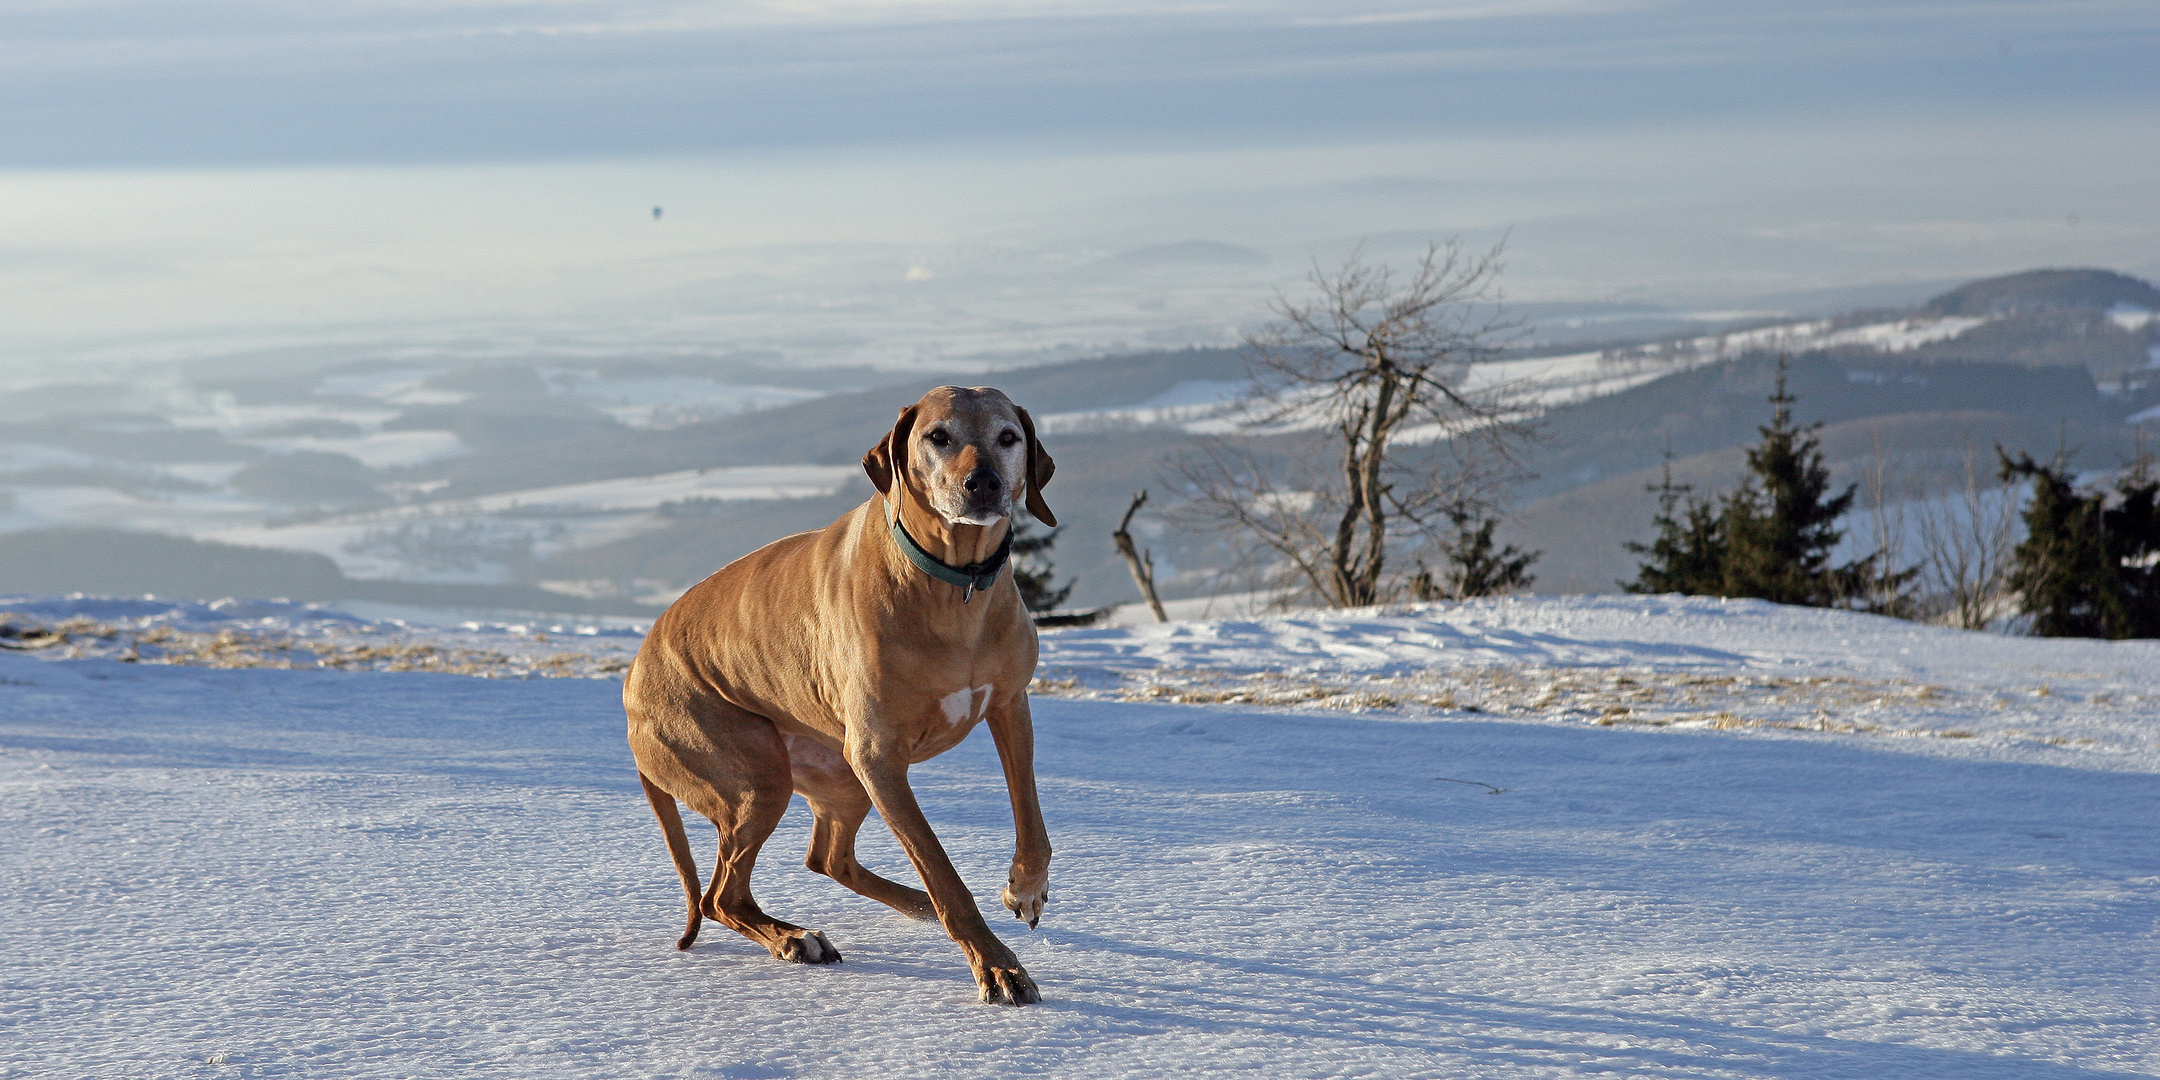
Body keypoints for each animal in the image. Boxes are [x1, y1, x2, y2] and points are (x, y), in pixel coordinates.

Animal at [622, 386, 1058, 1002]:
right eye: (938, 436)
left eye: (1008, 437)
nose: (984, 484)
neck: (953, 585)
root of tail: (630, 683)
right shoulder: (879, 758)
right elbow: (944, 872)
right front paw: (997, 966)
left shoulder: (1009, 704)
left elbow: (1030, 814)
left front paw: (1026, 888)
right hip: (754, 774)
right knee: (721, 895)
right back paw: (793, 937)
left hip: (839, 776)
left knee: (827, 858)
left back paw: (909, 905)